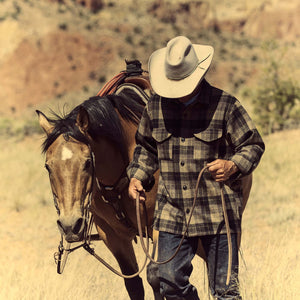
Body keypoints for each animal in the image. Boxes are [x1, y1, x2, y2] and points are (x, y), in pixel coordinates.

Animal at [37, 78, 253, 300]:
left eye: (88, 162)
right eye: (48, 166)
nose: (70, 225)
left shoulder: (157, 226)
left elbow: (155, 275)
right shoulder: (111, 234)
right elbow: (134, 284)